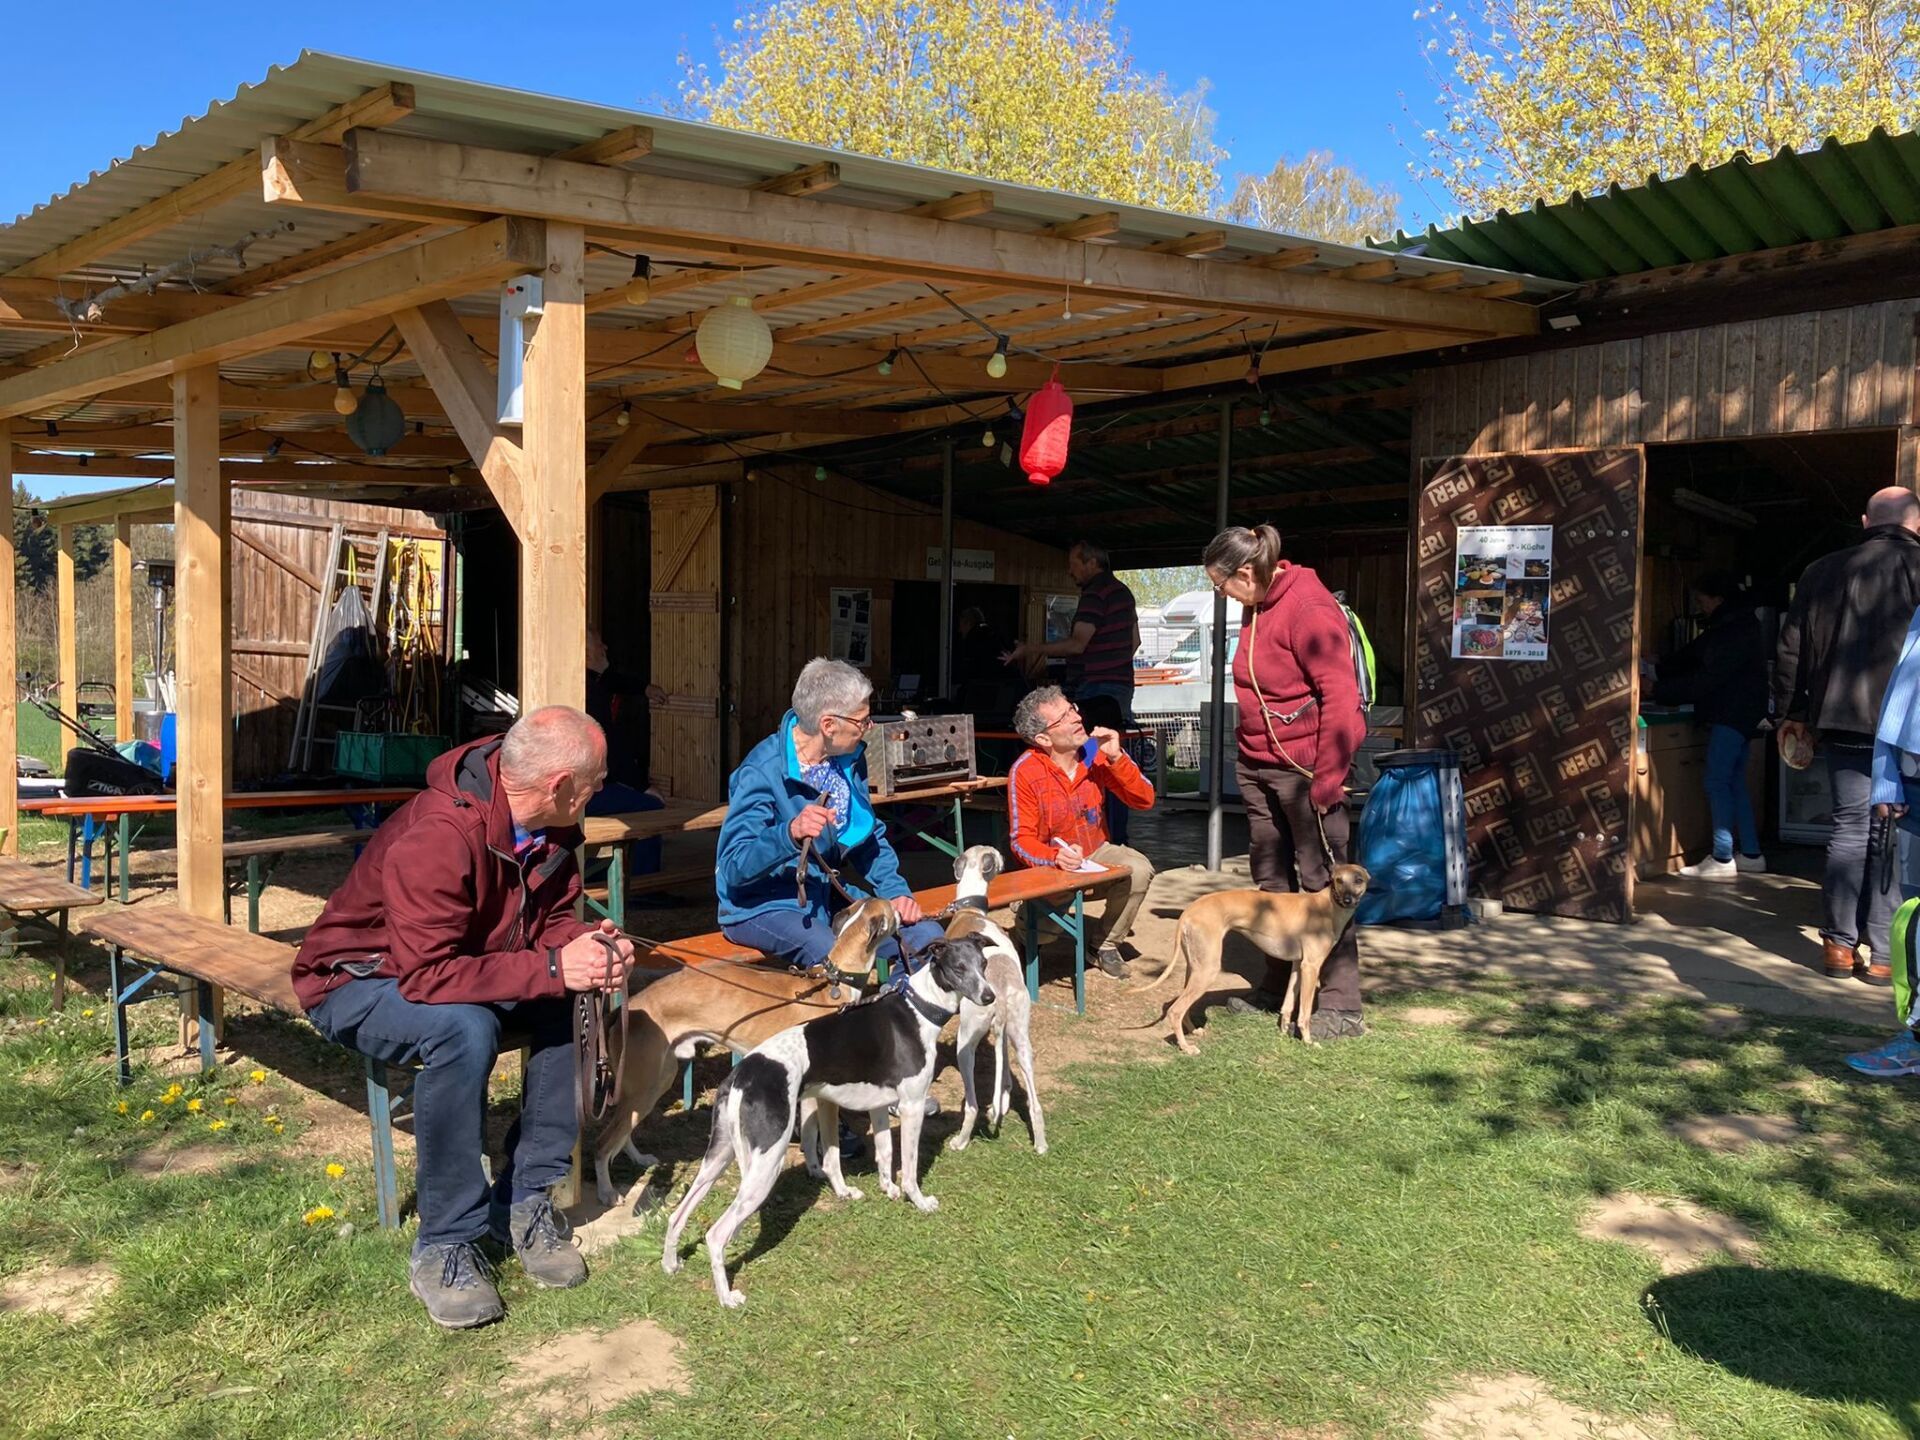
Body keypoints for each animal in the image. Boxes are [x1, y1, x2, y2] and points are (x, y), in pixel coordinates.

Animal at [590, 897, 901, 1206]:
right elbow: (831, 1152)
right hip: (645, 1087)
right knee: (603, 1143)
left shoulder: (810, 1092)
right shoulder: (824, 1096)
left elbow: (810, 1135)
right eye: (890, 909)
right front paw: (843, 1189)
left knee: (622, 1130)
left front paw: (814, 1170)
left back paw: (638, 1158)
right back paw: (606, 1191)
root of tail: (624, 1009)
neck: (832, 985)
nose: (902, 908)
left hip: (654, 1083)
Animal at [660, 935, 997, 1308]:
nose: (989, 997)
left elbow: (884, 1153)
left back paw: (671, 1263)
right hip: (766, 1163)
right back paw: (727, 1297)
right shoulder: (911, 1105)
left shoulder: (879, 1105)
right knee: (716, 1234)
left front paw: (888, 1189)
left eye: (983, 964)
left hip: (718, 1156)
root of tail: (740, 1076)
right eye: (958, 968)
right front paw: (919, 1201)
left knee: (678, 1213)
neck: (919, 1009)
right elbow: (909, 1167)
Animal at [942, 846, 1047, 1154]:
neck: (970, 910)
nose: (1004, 855)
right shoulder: (1004, 1035)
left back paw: (961, 1140)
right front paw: (1001, 1102)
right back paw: (1040, 1143)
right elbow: (1006, 1076)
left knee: (972, 1105)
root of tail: (999, 990)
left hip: (966, 1042)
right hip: (1020, 1036)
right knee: (1035, 1103)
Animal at [1136, 864, 1370, 1053]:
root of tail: (1188, 911)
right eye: (1338, 880)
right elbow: (1303, 1014)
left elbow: (1287, 1005)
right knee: (1175, 1010)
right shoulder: (1311, 967)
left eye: (1358, 879)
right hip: (1207, 970)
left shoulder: (1297, 965)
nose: (1348, 900)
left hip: (1196, 967)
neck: (1327, 906)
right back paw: (1186, 1048)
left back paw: (1194, 1032)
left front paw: (1283, 1033)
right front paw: (1308, 1042)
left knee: (1181, 1006)